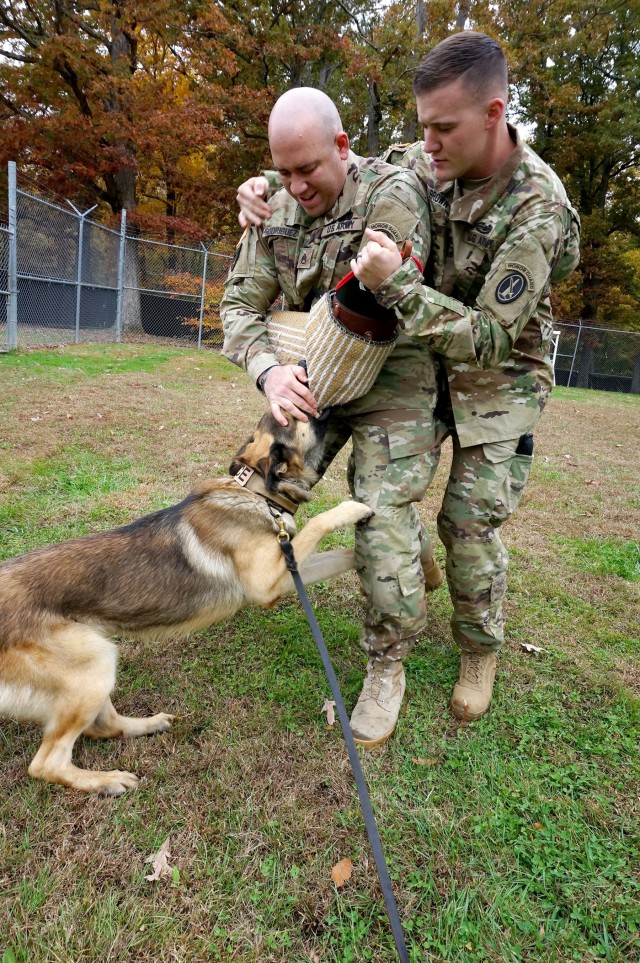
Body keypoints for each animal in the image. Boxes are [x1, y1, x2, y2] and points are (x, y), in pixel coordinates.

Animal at [0, 410, 370, 796]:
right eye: (296, 416)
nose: (322, 401)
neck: (254, 491)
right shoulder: (270, 581)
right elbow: (318, 523)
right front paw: (352, 508)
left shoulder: (288, 573)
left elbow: (344, 555)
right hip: (93, 665)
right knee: (46, 763)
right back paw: (107, 781)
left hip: (94, 665)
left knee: (103, 726)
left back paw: (148, 725)